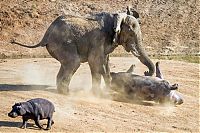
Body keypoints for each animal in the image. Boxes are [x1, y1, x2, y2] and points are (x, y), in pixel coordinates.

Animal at [10, 12, 155, 94]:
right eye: (131, 32)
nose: (146, 72)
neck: (116, 18)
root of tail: (46, 34)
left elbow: (105, 62)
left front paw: (106, 90)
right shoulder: (98, 38)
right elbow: (95, 62)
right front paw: (97, 93)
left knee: (67, 64)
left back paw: (62, 91)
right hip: (62, 43)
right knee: (73, 63)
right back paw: (66, 93)